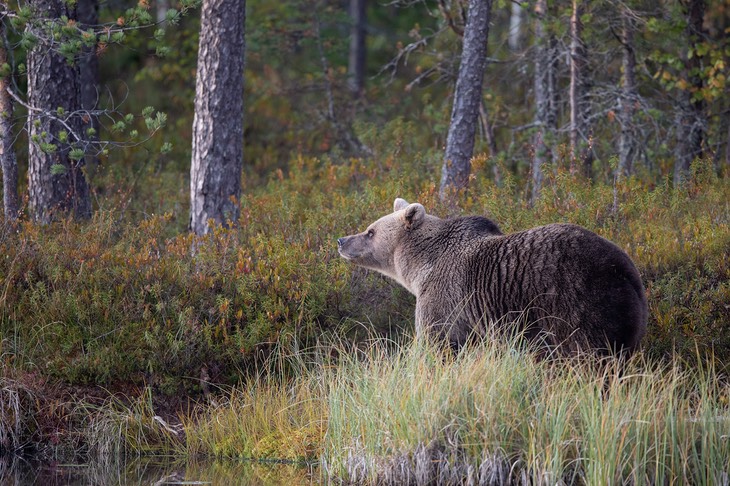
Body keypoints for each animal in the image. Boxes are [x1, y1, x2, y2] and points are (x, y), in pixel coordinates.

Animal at [338, 197, 644, 356]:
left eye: (370, 231)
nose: (342, 240)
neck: (419, 266)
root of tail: (625, 270)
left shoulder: (444, 295)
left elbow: (438, 339)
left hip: (580, 302)